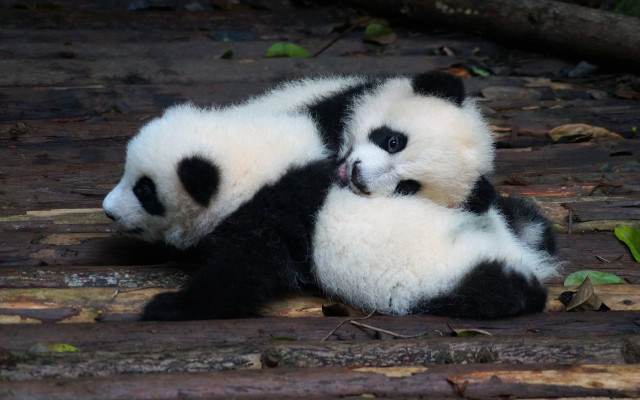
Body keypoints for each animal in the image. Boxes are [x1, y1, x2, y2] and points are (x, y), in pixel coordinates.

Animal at [103, 71, 555, 320]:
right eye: (391, 141)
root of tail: (518, 254)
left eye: (145, 192)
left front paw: (166, 307)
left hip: (457, 277)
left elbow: (241, 275)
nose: (109, 211)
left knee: (496, 287)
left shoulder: (268, 217)